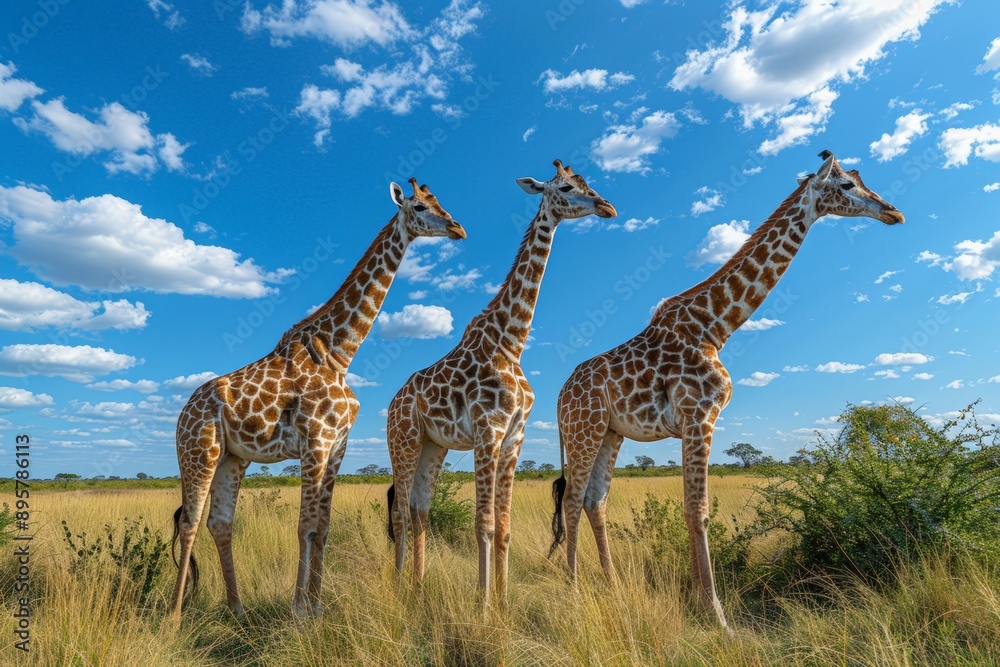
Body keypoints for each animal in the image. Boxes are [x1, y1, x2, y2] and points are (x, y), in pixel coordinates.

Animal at [168, 179, 466, 623]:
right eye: (419, 206)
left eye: (440, 201)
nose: (457, 228)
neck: (340, 352)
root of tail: (182, 413)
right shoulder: (315, 440)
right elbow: (304, 525)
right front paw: (299, 611)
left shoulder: (338, 445)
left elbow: (322, 526)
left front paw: (318, 605)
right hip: (198, 451)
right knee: (189, 522)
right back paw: (173, 617)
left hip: (232, 458)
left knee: (220, 523)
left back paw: (238, 609)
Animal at [385, 160, 617, 606]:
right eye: (565, 187)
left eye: (586, 182)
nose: (607, 206)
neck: (512, 342)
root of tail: (391, 404)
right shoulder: (487, 431)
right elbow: (484, 523)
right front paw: (483, 603)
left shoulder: (514, 437)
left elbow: (504, 526)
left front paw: (505, 600)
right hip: (403, 441)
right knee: (402, 511)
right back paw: (400, 586)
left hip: (432, 446)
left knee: (420, 509)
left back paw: (418, 586)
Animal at [549, 151, 904, 630]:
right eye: (847, 184)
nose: (893, 212)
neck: (715, 327)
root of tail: (559, 395)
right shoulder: (700, 416)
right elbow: (697, 511)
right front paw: (715, 614)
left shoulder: (692, 421)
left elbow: (692, 510)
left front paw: (702, 603)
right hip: (583, 431)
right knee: (571, 500)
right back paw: (572, 590)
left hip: (610, 433)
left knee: (594, 500)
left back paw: (613, 586)